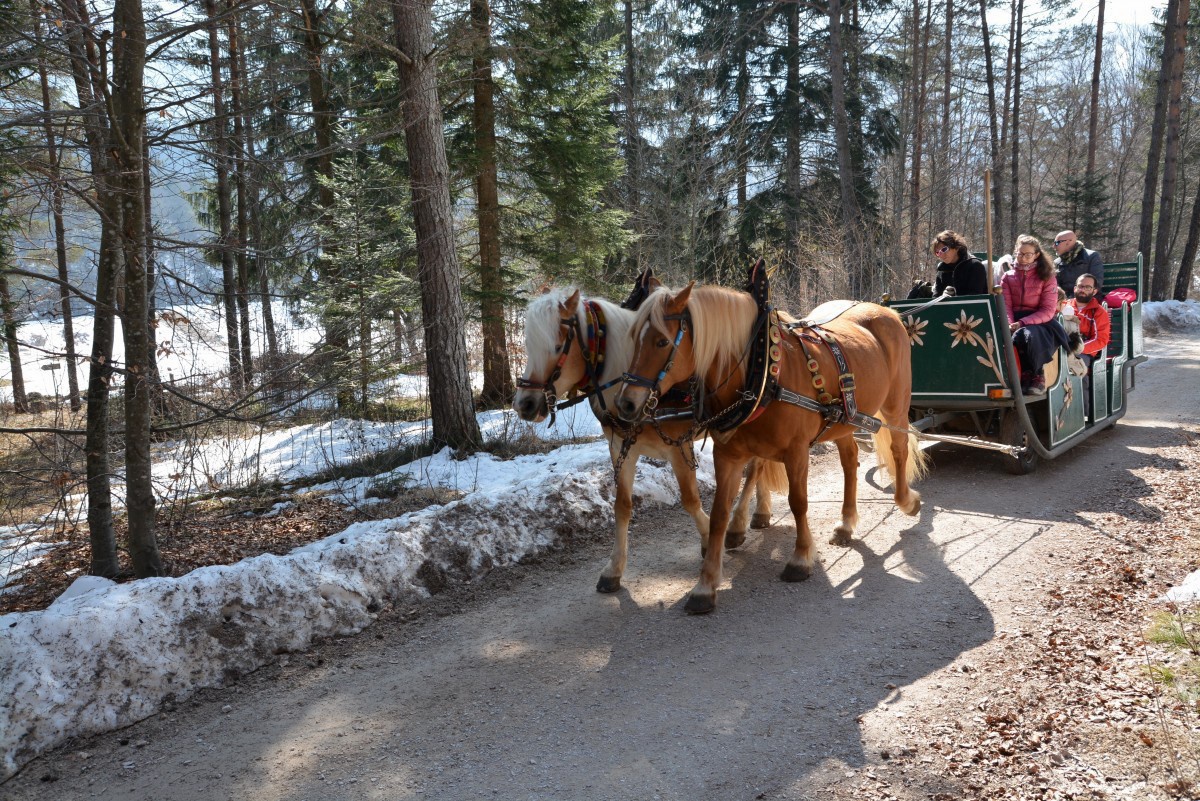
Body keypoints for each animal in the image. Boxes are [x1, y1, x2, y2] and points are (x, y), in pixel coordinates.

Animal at [513, 286, 787, 594]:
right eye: (529, 346)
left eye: (558, 347)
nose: (524, 403)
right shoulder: (621, 447)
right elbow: (622, 506)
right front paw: (614, 568)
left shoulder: (679, 447)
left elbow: (690, 500)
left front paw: (708, 539)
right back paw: (761, 512)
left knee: (755, 469)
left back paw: (738, 524)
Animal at [614, 283, 928, 613]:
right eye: (634, 338)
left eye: (662, 341)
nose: (626, 403)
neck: (761, 375)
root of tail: (886, 311)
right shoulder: (727, 456)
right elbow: (719, 514)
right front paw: (705, 584)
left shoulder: (796, 451)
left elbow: (798, 502)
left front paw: (800, 559)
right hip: (844, 419)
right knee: (849, 460)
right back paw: (846, 524)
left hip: (896, 404)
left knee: (899, 449)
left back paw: (907, 501)